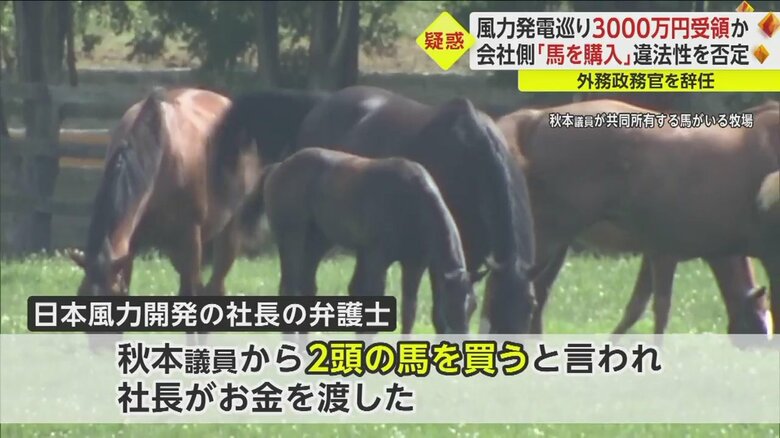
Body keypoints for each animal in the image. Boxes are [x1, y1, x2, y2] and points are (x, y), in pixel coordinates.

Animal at [67, 87, 247, 302]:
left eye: (112, 295)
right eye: (80, 293)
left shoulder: (190, 237)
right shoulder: (131, 244)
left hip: (228, 228)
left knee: (216, 282)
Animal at [260, 147, 477, 334]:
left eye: (473, 306)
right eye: (450, 305)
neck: (412, 203)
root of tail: (279, 166)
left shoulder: (414, 266)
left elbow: (409, 311)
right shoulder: (378, 259)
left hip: (317, 243)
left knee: (307, 285)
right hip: (291, 239)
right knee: (288, 287)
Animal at [497, 98, 779, 335]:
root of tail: (535, 119)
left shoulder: (655, 253)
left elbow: (638, 307)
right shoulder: (665, 254)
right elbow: (657, 309)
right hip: (547, 238)